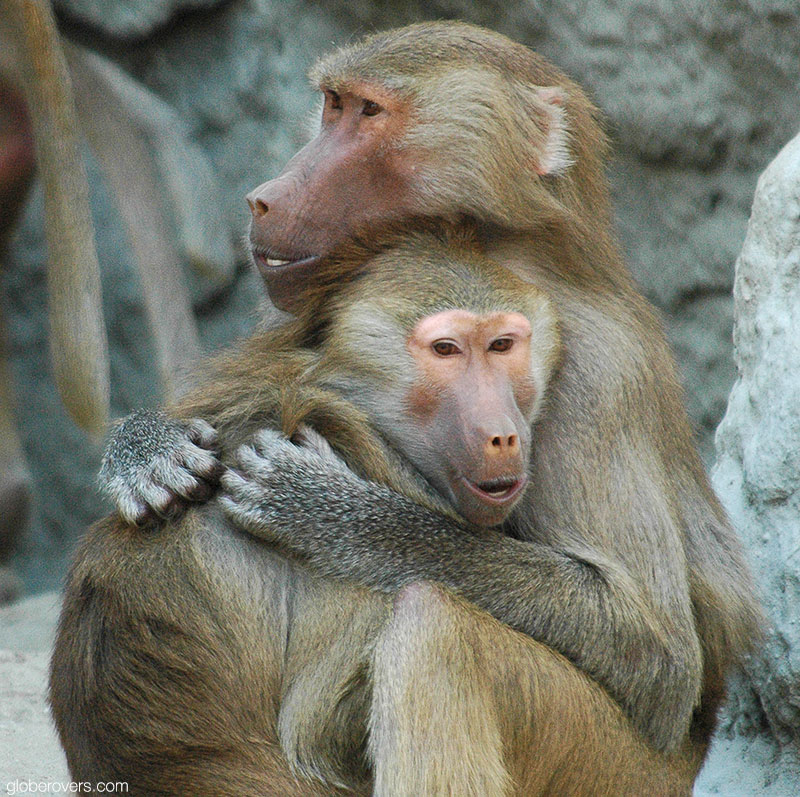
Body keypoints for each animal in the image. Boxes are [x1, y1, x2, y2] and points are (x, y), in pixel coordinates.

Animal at [93, 19, 761, 786]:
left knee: (435, 630)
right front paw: (148, 449)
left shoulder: (601, 369)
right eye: (332, 105)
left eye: (369, 113)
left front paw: (332, 514)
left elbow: (653, 650)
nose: (263, 199)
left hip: (611, 763)